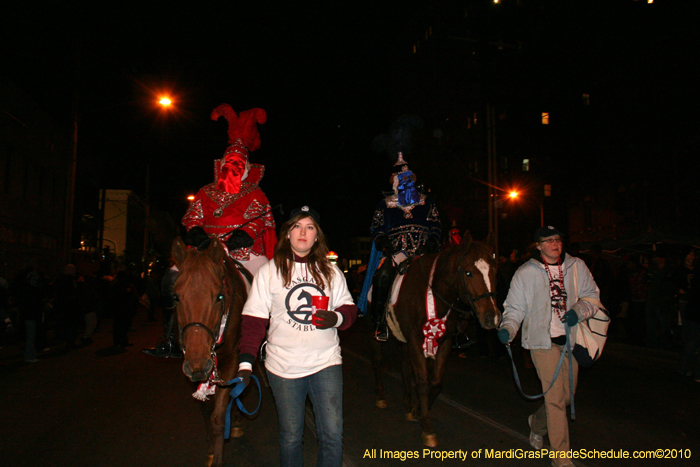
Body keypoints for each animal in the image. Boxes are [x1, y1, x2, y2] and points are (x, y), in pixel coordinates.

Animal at [171, 238, 250, 467]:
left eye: (219, 296)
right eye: (176, 296)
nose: (199, 365)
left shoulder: (232, 359)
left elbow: (218, 417)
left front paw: (217, 456)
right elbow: (207, 412)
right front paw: (210, 451)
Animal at [370, 232, 500, 448]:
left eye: (494, 271)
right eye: (468, 273)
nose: (492, 318)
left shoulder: (444, 341)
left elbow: (436, 382)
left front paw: (417, 411)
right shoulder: (415, 339)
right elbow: (422, 382)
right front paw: (427, 429)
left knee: (405, 366)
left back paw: (407, 401)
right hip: (376, 329)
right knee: (378, 360)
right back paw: (380, 396)